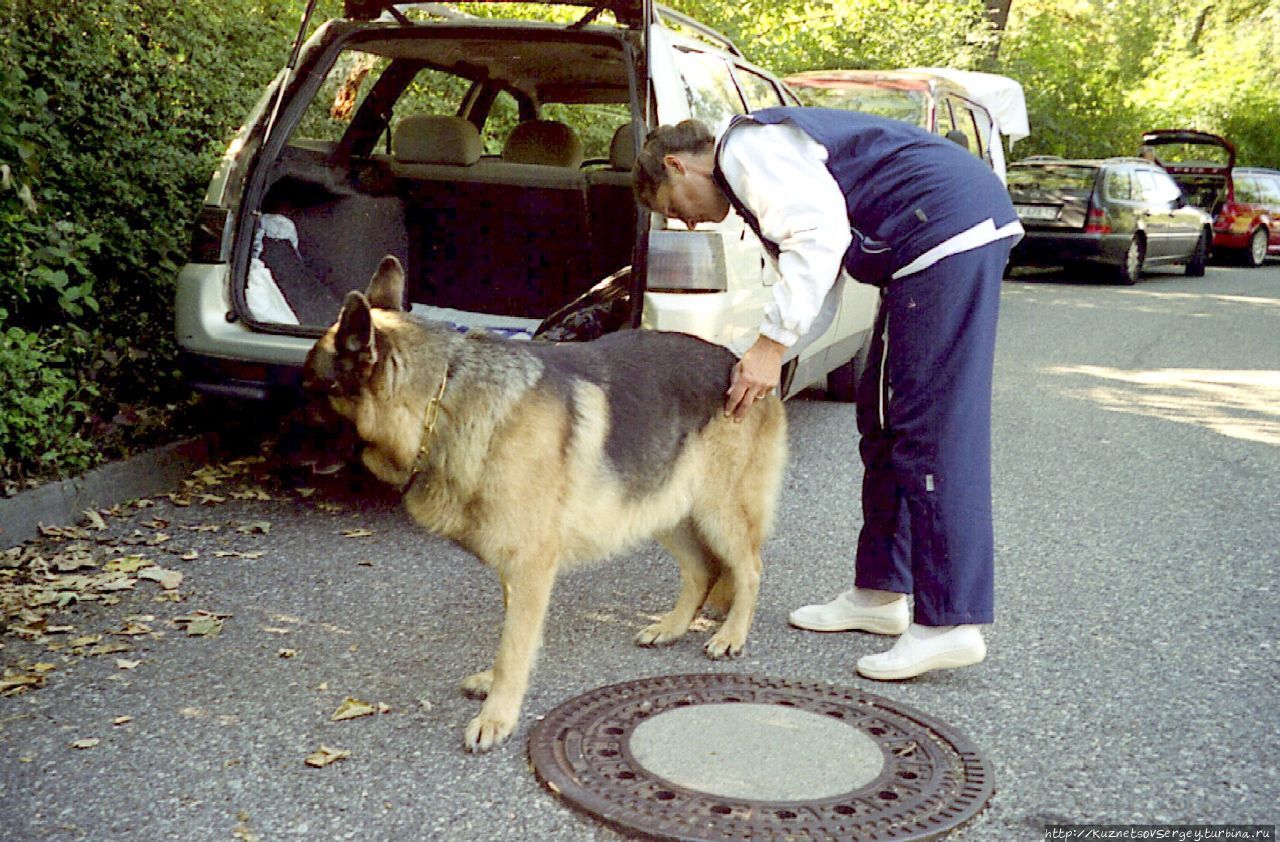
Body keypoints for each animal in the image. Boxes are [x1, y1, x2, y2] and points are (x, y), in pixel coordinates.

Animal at [304, 255, 783, 747]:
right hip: (665, 508)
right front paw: (493, 687)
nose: (275, 446)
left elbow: (513, 645)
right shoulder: (515, 568)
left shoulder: (531, 566)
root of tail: (737, 362)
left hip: (718, 512)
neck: (443, 402)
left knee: (749, 569)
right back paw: (671, 627)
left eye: (308, 390)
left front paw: (497, 716)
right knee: (702, 570)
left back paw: (732, 634)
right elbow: (514, 638)